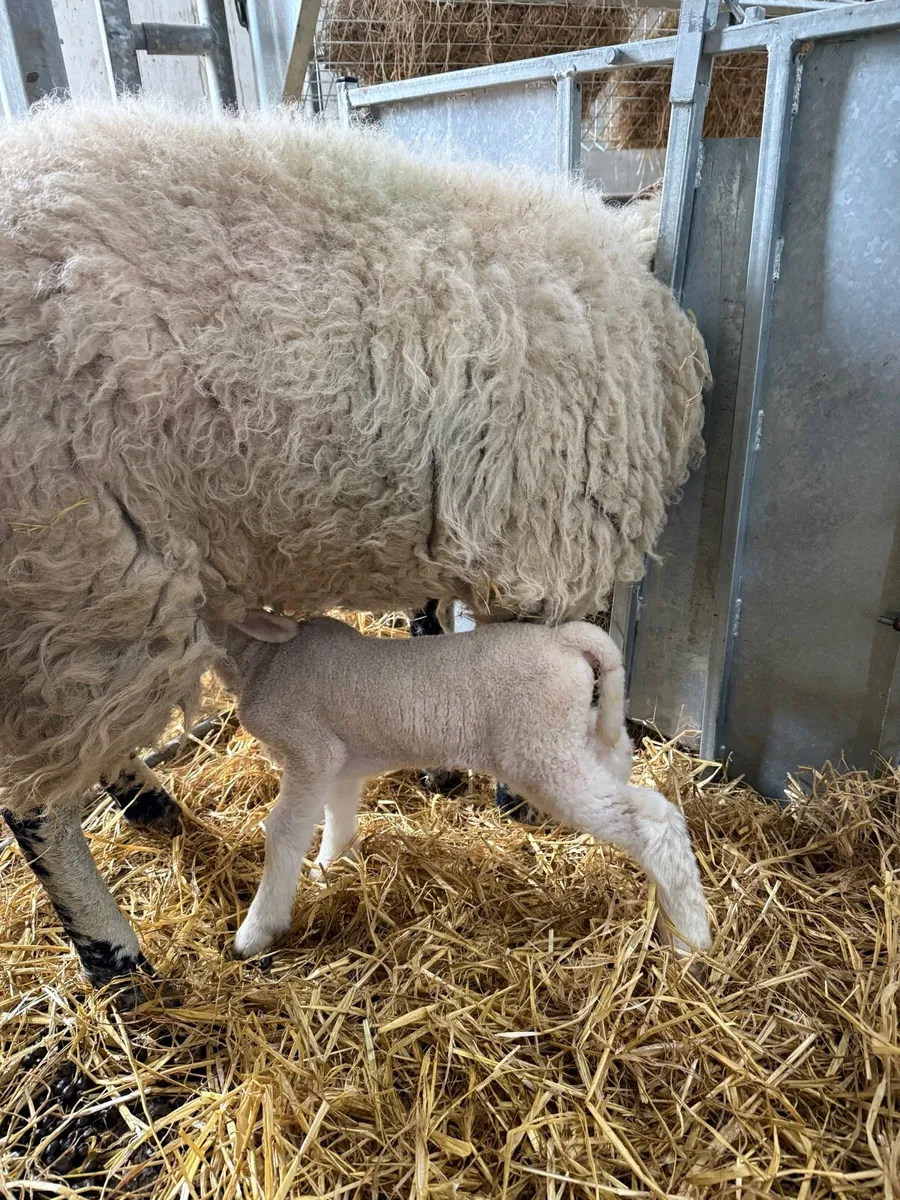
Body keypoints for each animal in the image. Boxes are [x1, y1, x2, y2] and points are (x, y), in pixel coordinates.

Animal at [219, 612, 712, 964]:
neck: (260, 658)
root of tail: (564, 639)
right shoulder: (341, 758)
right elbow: (337, 813)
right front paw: (331, 866)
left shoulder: (310, 751)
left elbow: (284, 830)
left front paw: (256, 931)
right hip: (568, 735)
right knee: (620, 755)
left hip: (540, 751)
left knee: (654, 819)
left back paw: (689, 938)